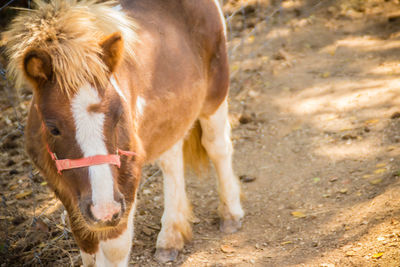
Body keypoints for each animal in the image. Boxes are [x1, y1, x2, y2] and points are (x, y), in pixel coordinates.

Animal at [3, 0, 244, 266]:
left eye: (119, 115)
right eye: (53, 128)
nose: (104, 208)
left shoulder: (127, 177)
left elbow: (114, 249)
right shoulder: (64, 190)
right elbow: (87, 246)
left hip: (216, 92)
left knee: (217, 146)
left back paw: (230, 215)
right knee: (171, 160)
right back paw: (171, 237)